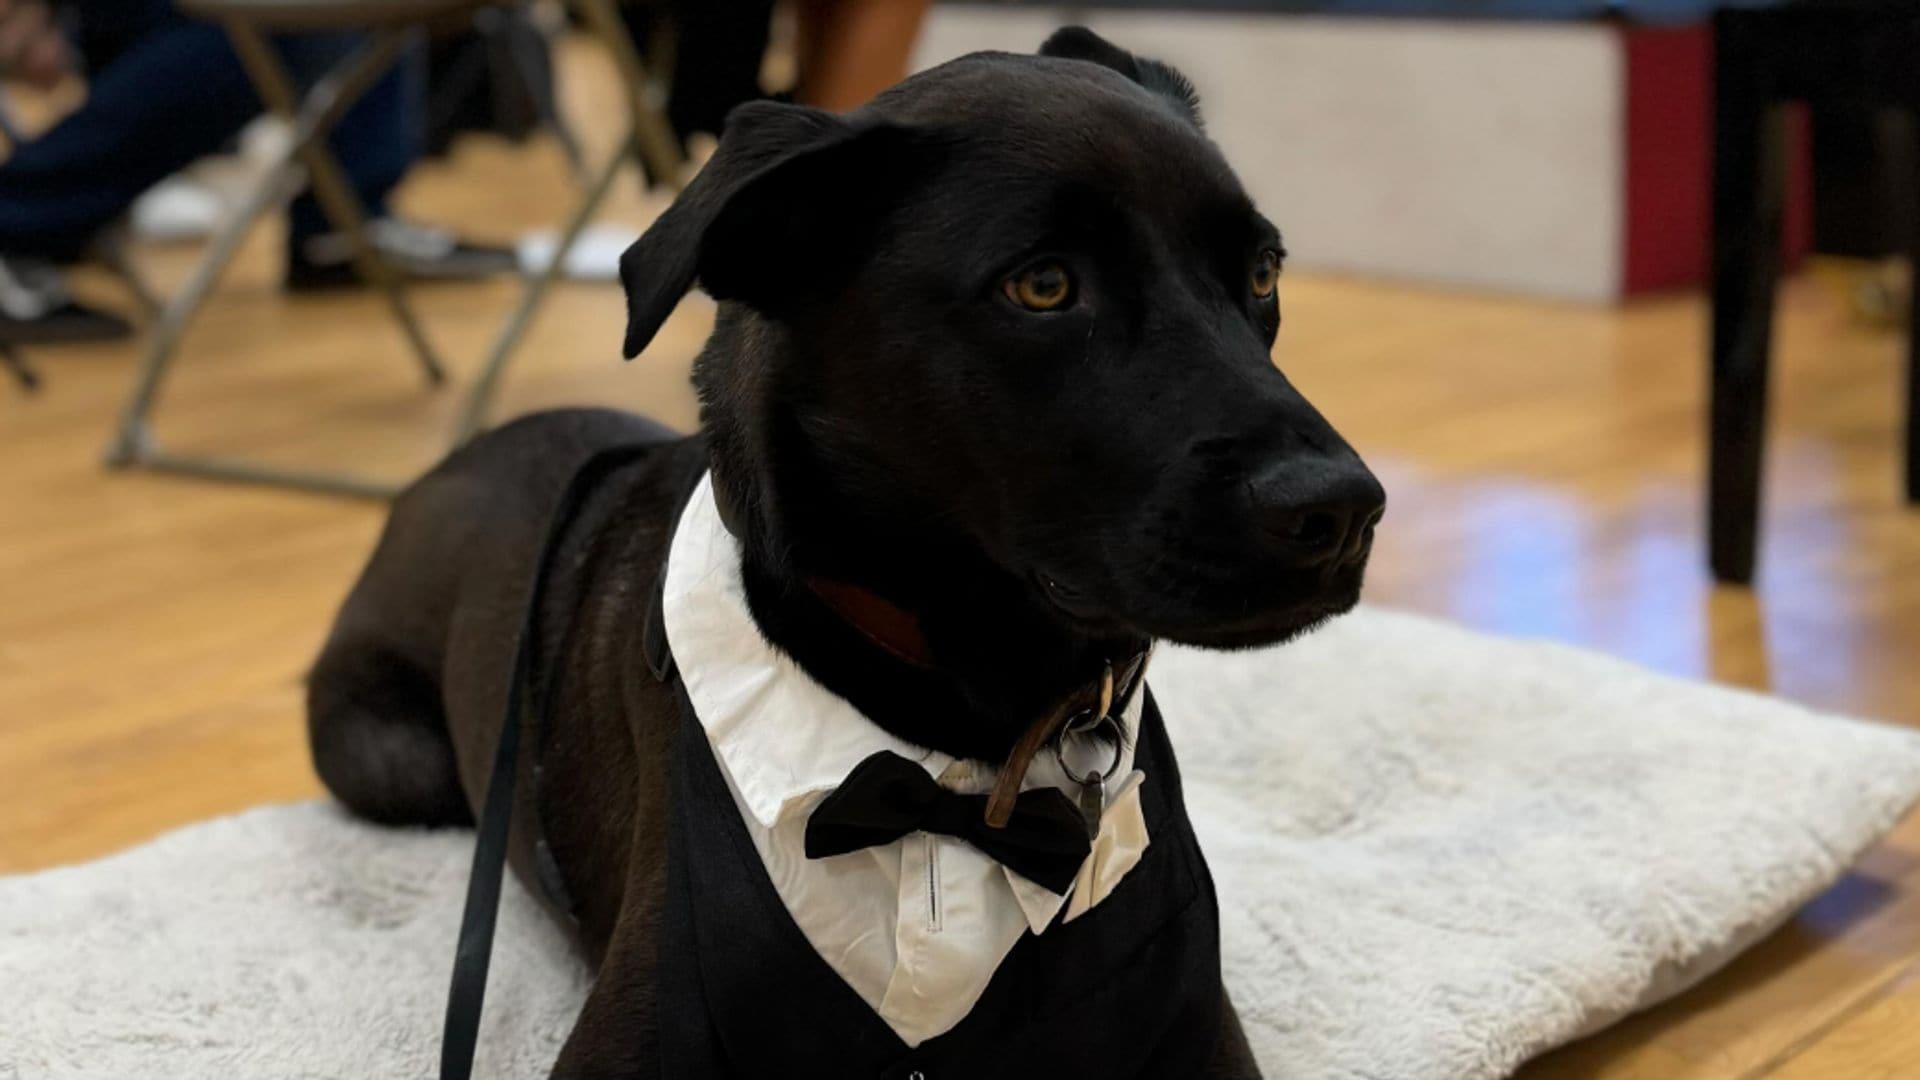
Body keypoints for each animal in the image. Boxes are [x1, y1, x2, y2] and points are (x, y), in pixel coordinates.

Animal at [307, 25, 1382, 1076]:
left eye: (1262, 272)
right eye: (1043, 285)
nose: (1343, 511)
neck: (971, 735)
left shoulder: (1192, 1026)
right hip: (392, 760)